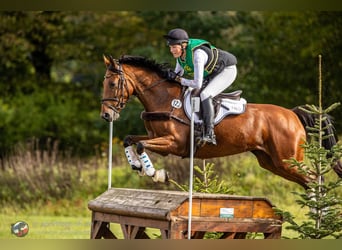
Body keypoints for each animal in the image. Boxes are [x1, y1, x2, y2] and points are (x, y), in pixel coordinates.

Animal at [100, 54, 340, 189]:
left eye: (112, 84)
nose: (106, 116)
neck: (164, 99)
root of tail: (292, 113)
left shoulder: (173, 143)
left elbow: (141, 145)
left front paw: (155, 174)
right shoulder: (156, 137)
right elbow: (130, 140)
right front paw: (137, 166)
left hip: (287, 159)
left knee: (314, 179)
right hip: (273, 162)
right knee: (309, 182)